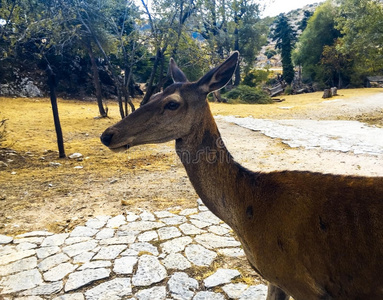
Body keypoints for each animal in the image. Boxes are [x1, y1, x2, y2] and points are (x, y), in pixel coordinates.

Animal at [101, 52, 383, 300]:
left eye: (172, 103)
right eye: (155, 93)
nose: (108, 135)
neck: (248, 214)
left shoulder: (303, 283)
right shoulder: (276, 279)